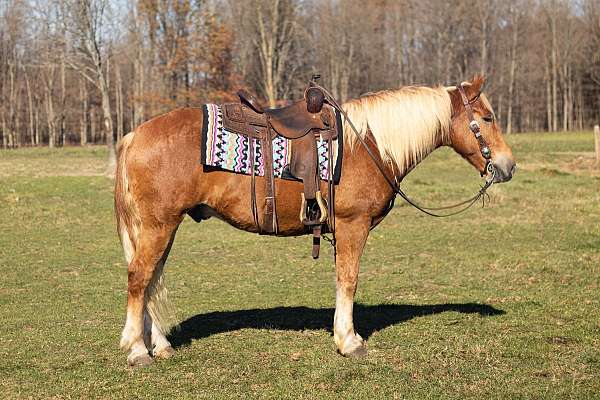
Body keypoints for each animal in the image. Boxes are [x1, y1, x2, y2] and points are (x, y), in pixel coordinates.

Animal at [116, 75, 516, 366]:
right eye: (488, 118)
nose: (508, 166)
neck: (369, 144)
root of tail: (134, 135)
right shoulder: (354, 225)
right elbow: (349, 280)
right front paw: (349, 341)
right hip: (158, 226)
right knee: (139, 279)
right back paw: (137, 350)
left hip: (163, 227)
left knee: (151, 281)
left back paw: (161, 346)